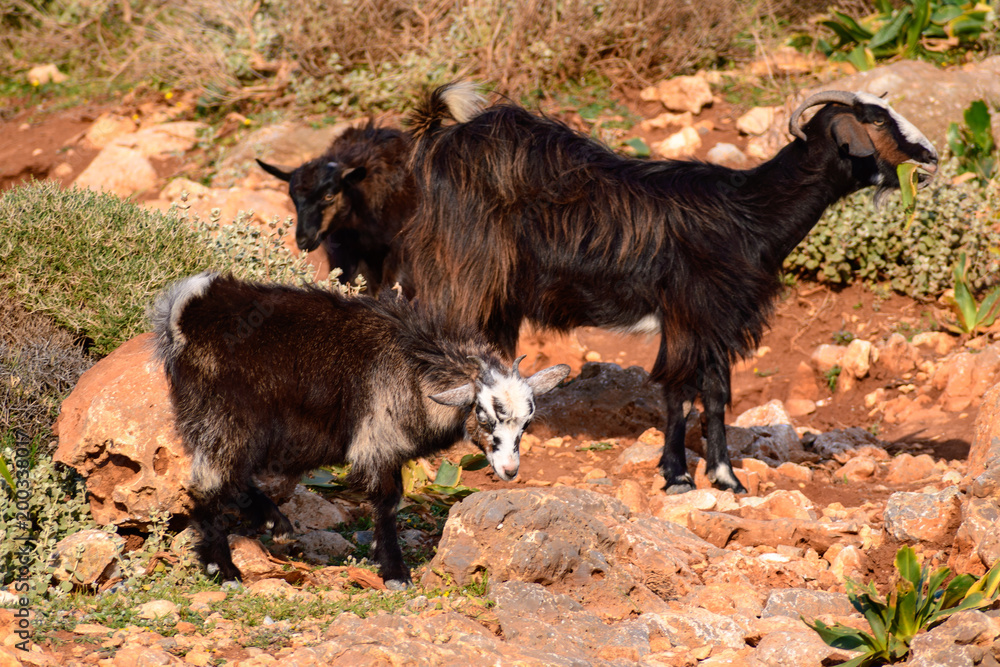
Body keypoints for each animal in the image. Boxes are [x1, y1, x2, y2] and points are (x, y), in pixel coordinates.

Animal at [151, 270, 568, 584]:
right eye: (482, 414)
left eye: (527, 422)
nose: (510, 470)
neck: (416, 367)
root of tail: (187, 315)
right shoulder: (378, 440)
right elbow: (387, 502)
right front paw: (395, 571)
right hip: (226, 419)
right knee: (208, 482)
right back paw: (224, 567)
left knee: (231, 477)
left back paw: (272, 524)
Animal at [398, 85, 936, 496]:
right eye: (875, 120)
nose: (931, 156)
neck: (750, 213)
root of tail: (443, 141)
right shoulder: (688, 312)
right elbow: (678, 393)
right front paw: (677, 476)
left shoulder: (718, 321)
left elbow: (716, 396)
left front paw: (726, 477)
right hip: (463, 276)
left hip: (501, 299)